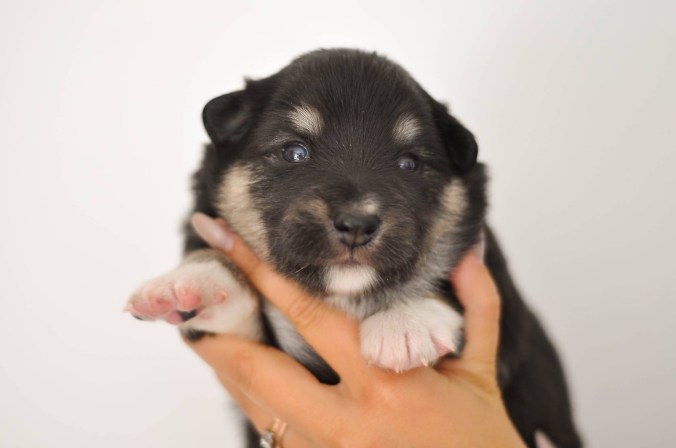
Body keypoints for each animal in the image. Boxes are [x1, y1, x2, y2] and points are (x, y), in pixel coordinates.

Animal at [127, 49, 583, 448]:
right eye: (294, 151)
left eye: (408, 163)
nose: (357, 225)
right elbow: (233, 302)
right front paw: (190, 283)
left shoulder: (504, 316)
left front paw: (405, 321)